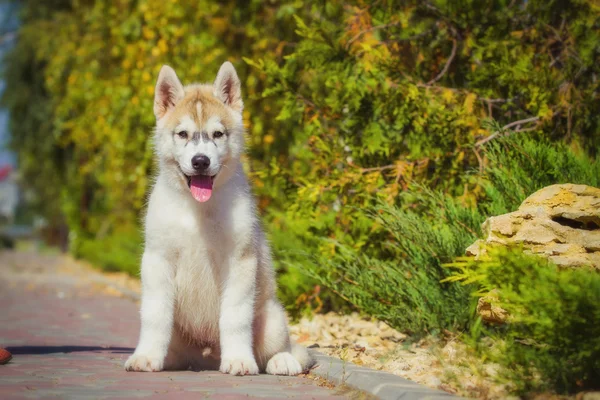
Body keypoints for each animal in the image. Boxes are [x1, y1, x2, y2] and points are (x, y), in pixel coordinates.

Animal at [126, 62, 314, 376]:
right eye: (182, 134)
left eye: (217, 134)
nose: (200, 161)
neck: (198, 210)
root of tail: (208, 354)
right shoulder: (157, 259)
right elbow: (154, 315)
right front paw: (147, 355)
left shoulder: (240, 261)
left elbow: (235, 317)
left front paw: (238, 359)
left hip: (272, 318)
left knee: (284, 348)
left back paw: (282, 360)